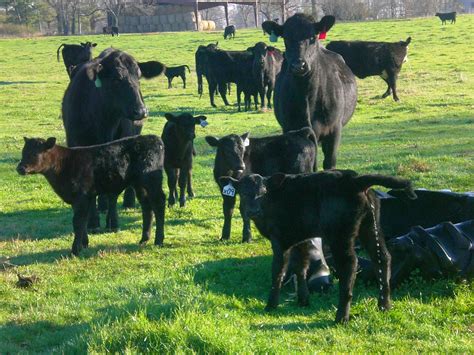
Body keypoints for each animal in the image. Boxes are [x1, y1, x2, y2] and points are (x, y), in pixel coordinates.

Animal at [17, 136, 167, 256]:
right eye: (23, 152)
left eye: (35, 153)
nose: (20, 168)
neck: (63, 164)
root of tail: (154, 139)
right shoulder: (80, 198)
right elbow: (83, 221)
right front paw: (84, 244)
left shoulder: (81, 197)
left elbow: (77, 222)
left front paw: (75, 250)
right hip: (139, 185)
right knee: (147, 206)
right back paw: (144, 239)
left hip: (151, 180)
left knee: (159, 203)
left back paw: (158, 240)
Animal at [222, 171, 414, 324]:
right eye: (243, 192)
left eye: (263, 193)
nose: (253, 211)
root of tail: (353, 178)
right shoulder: (300, 239)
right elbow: (300, 267)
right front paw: (303, 300)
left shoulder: (280, 240)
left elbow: (278, 271)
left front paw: (271, 305)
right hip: (370, 227)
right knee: (382, 257)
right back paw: (384, 306)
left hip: (340, 235)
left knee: (350, 265)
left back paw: (341, 317)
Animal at [262, 14, 358, 172]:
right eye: (286, 38)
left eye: (313, 36)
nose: (298, 65)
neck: (307, 98)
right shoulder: (290, 129)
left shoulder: (334, 129)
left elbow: (329, 162)